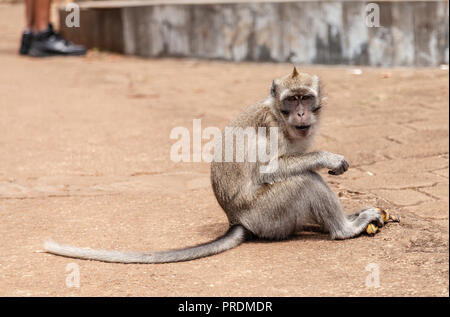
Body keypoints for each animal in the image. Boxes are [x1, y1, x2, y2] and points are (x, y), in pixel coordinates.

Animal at [46, 66, 390, 262]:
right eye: (291, 100)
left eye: (305, 98)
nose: (302, 113)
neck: (281, 117)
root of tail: (236, 220)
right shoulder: (272, 128)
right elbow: (269, 170)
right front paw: (329, 157)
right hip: (267, 214)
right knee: (305, 180)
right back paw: (345, 229)